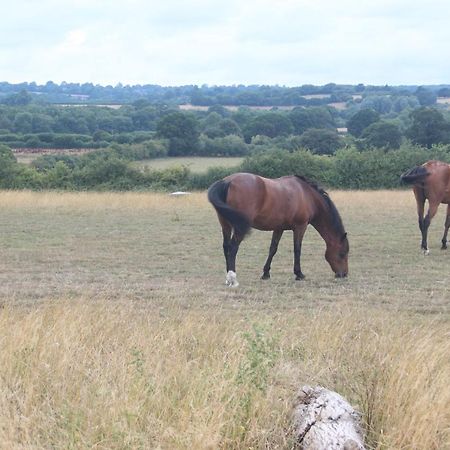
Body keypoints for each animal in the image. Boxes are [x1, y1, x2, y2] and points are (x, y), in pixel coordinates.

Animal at [206, 171, 350, 286]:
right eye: (342, 253)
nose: (343, 274)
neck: (307, 195)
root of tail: (227, 181)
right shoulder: (300, 227)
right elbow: (297, 249)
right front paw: (299, 274)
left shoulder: (278, 228)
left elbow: (273, 249)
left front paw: (266, 274)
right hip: (238, 227)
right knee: (233, 247)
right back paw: (232, 278)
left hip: (225, 224)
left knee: (226, 247)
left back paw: (228, 277)